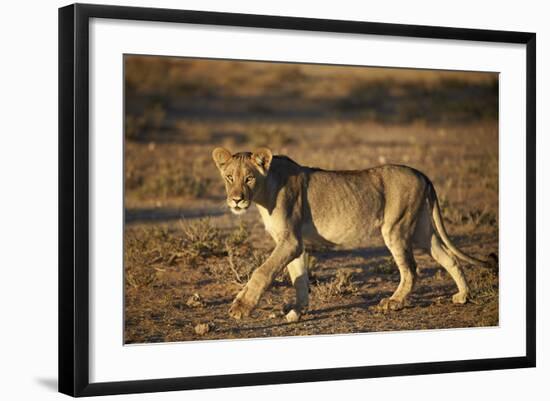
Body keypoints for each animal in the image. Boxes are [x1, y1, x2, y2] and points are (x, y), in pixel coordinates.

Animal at [212, 147, 500, 322]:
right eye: (229, 177)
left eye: (249, 178)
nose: (236, 200)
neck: (263, 195)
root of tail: (421, 173)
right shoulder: (294, 242)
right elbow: (299, 278)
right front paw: (297, 311)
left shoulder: (290, 241)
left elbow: (262, 272)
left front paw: (240, 307)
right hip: (420, 230)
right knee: (448, 257)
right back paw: (463, 296)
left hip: (395, 227)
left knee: (411, 269)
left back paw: (394, 302)